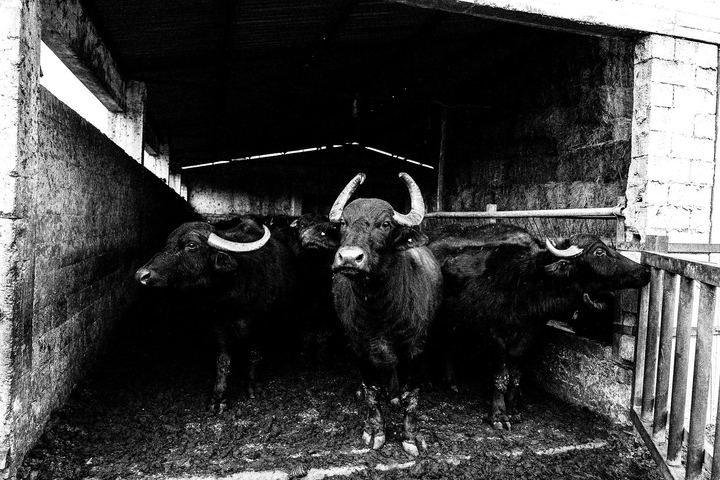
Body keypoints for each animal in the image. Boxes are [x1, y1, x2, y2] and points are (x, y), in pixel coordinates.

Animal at [135, 216, 298, 412]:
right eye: (168, 243)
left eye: (191, 245)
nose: (141, 275)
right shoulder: (218, 325)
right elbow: (223, 361)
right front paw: (218, 398)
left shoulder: (259, 324)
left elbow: (254, 355)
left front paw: (253, 386)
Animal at [330, 172, 442, 456]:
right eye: (344, 223)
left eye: (385, 224)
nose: (349, 258)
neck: (380, 311)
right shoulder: (358, 348)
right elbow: (371, 392)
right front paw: (374, 431)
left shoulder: (416, 349)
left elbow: (412, 397)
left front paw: (411, 437)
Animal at [429, 224, 649, 429]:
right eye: (599, 252)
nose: (644, 270)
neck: (523, 285)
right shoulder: (493, 336)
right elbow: (501, 375)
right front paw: (499, 415)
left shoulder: (528, 335)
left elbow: (516, 374)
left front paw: (513, 409)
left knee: (449, 345)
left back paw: (451, 381)